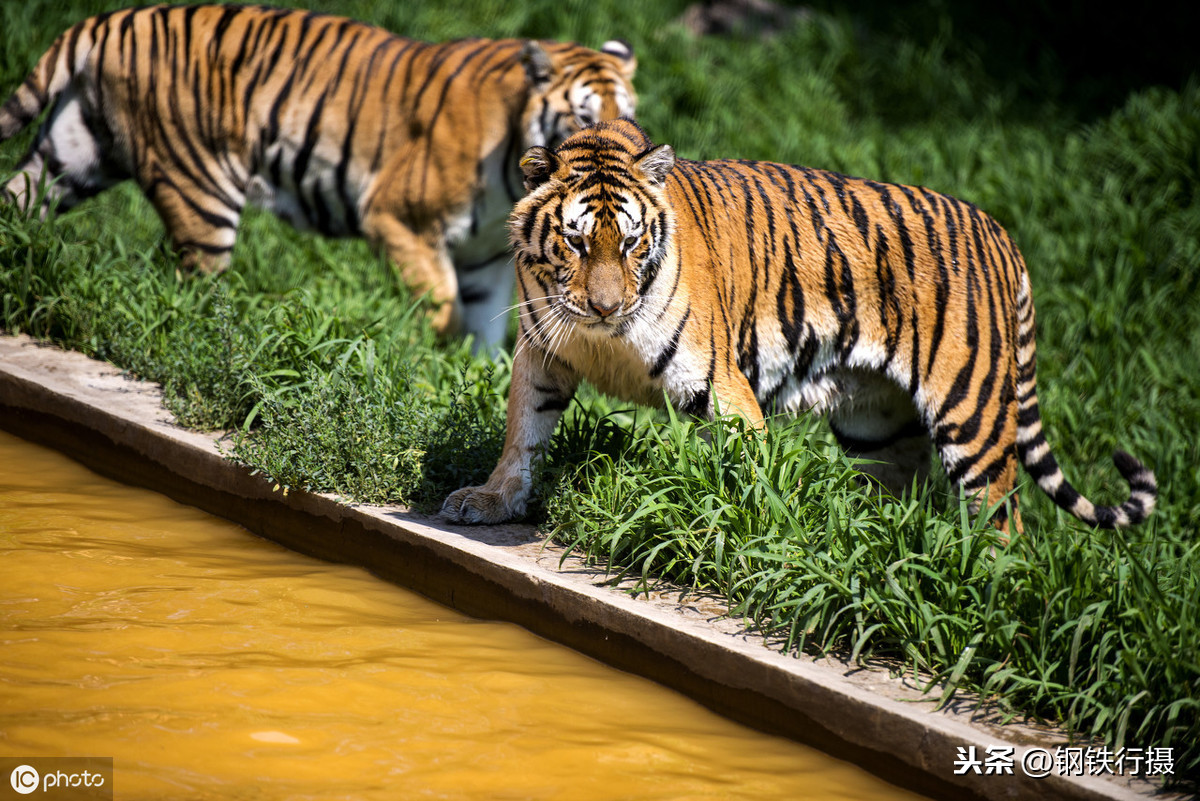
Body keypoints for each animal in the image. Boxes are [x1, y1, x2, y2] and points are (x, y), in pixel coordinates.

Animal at [0, 3, 638, 347]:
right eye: (585, 117)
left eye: (627, 114)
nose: (619, 150)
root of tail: (107, 21)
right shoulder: (397, 220)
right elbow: (444, 306)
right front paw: (432, 362)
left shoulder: (486, 260)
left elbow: (485, 329)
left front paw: (469, 374)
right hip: (200, 188)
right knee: (196, 287)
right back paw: (216, 336)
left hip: (71, 157)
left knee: (16, 205)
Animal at [446, 117, 1156, 532]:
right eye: (574, 243)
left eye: (628, 242)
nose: (605, 307)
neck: (602, 338)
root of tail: (1002, 234)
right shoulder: (541, 352)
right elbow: (522, 436)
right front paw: (491, 500)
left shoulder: (720, 386)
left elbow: (746, 473)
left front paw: (748, 531)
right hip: (877, 424)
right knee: (907, 483)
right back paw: (890, 540)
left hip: (971, 413)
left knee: (1001, 516)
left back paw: (983, 578)